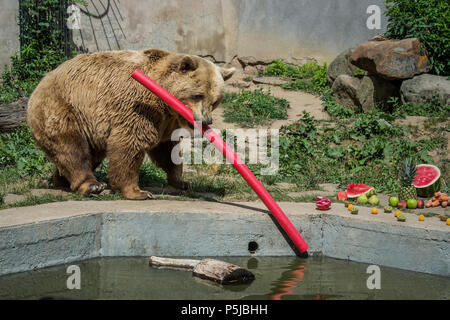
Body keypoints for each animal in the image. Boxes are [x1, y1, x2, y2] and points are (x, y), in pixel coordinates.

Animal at [26, 48, 236, 199]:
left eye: (215, 100)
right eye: (197, 95)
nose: (206, 120)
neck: (164, 99)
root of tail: (40, 83)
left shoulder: (166, 121)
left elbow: (167, 149)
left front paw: (181, 181)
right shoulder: (138, 106)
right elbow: (130, 144)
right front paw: (138, 191)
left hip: (89, 125)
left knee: (88, 154)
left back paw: (60, 180)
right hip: (64, 108)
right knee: (72, 148)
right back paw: (92, 185)